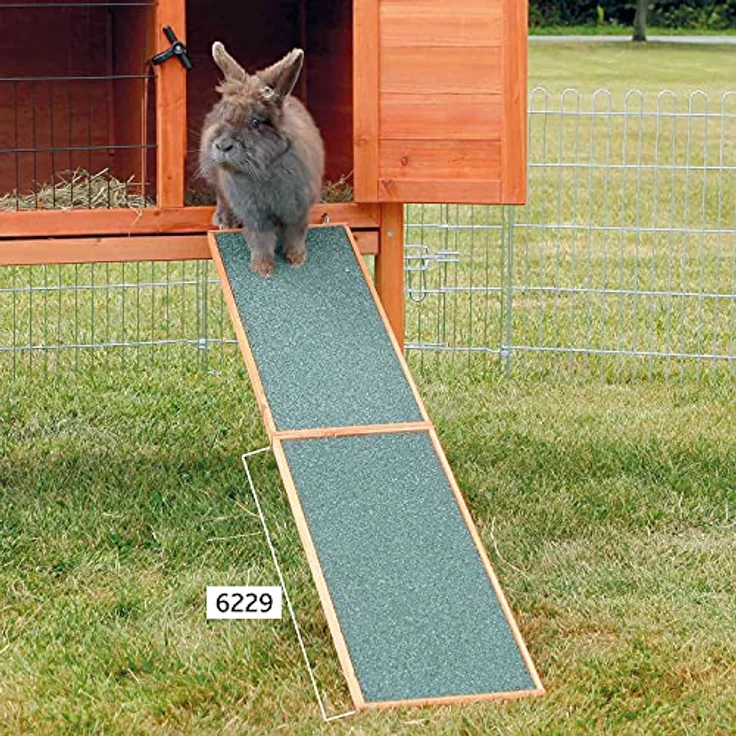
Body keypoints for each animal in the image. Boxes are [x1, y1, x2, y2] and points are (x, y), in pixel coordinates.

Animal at [199, 42, 325, 277]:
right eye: (224, 115)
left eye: (256, 122)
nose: (222, 146)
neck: (265, 169)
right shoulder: (254, 214)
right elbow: (261, 240)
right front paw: (263, 268)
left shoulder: (298, 209)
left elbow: (296, 234)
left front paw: (296, 259)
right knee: (221, 197)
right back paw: (224, 221)